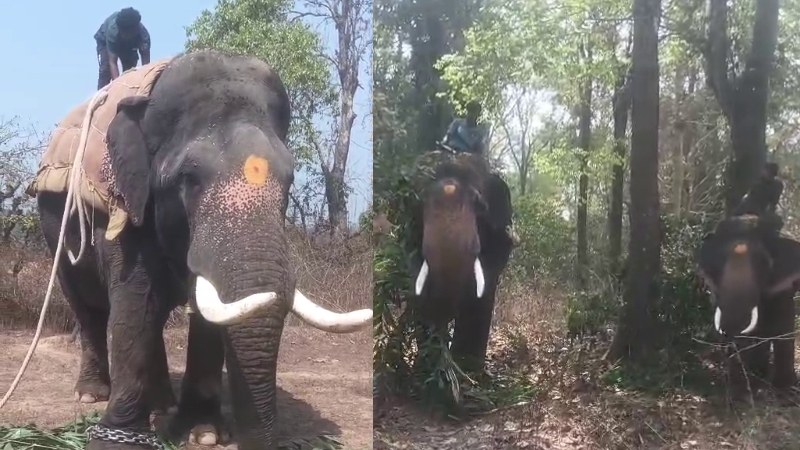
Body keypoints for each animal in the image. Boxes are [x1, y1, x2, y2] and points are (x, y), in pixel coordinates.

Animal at [34, 51, 371, 450]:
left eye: (290, 180)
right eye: (188, 179)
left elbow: (205, 310)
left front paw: (205, 433)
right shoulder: (126, 203)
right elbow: (135, 300)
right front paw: (119, 440)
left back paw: (162, 404)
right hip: (54, 228)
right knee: (88, 307)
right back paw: (91, 394)